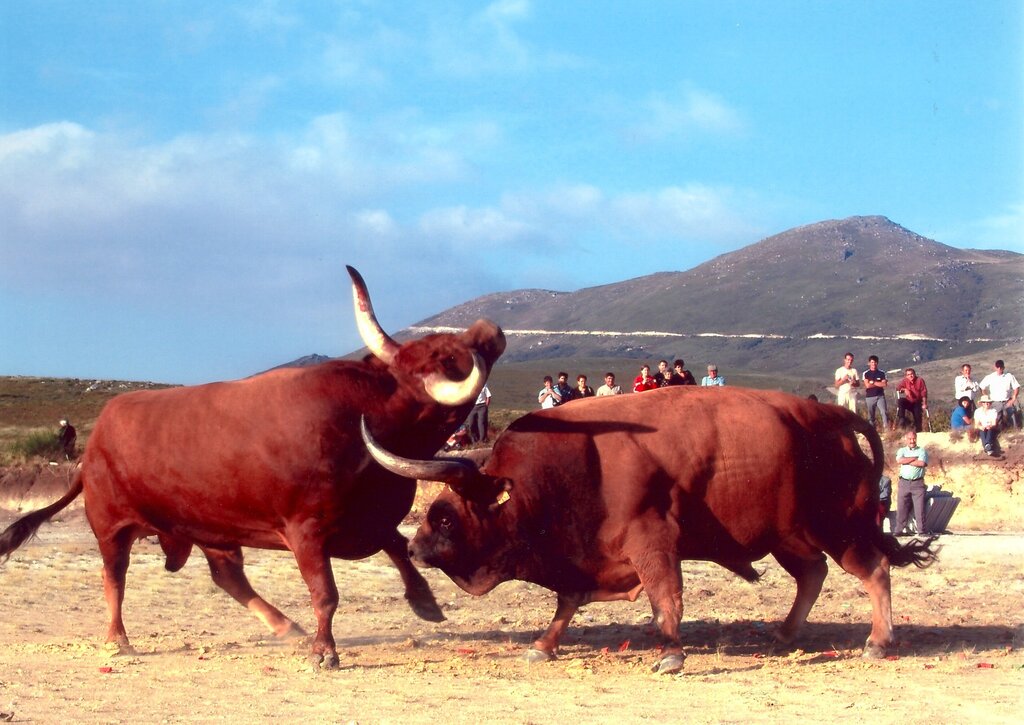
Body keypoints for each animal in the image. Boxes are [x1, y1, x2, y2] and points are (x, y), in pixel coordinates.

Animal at [0, 266, 505, 667]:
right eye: (445, 354)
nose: (490, 329)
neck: (370, 419)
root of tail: (93, 445)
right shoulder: (307, 531)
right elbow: (326, 592)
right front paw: (325, 651)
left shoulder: (370, 520)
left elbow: (399, 549)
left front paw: (425, 603)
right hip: (111, 526)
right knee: (114, 578)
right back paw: (118, 640)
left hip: (211, 528)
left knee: (227, 576)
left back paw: (286, 627)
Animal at [360, 385, 937, 675]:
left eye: (444, 515)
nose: (414, 546)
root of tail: (835, 417)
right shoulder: (587, 559)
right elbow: (567, 603)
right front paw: (543, 645)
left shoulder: (652, 543)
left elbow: (666, 597)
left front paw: (671, 653)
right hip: (789, 536)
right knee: (812, 574)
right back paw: (784, 633)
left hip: (838, 527)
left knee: (874, 570)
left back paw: (878, 642)